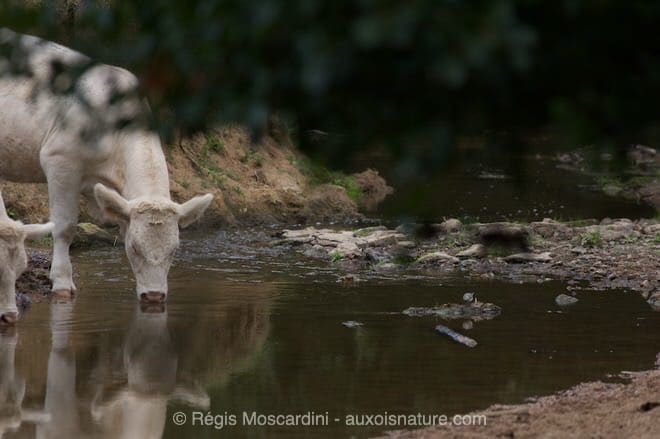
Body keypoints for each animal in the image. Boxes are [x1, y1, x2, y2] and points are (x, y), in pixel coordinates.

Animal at [0, 27, 213, 302]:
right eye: (135, 248)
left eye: (174, 250)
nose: (154, 296)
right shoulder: (60, 160)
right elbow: (65, 227)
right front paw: (62, 282)